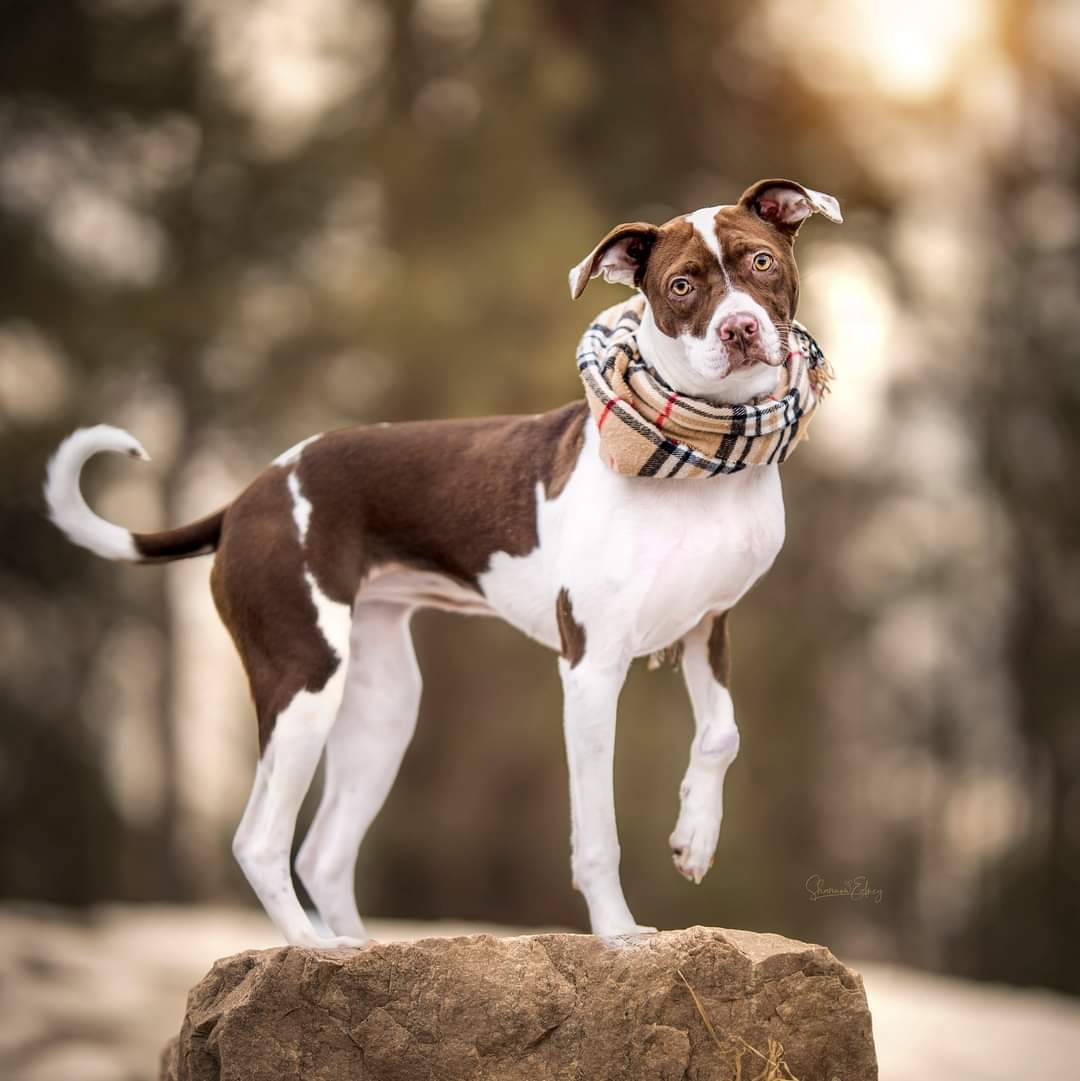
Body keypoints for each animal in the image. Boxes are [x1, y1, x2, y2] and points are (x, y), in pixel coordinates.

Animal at [44, 179, 843, 946]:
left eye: (760, 262)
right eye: (680, 285)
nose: (740, 330)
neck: (701, 458)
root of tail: (247, 496)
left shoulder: (707, 624)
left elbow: (721, 734)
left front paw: (693, 839)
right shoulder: (590, 668)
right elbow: (596, 833)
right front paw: (618, 933)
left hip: (383, 705)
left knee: (322, 852)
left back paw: (363, 951)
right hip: (303, 678)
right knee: (261, 842)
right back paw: (314, 949)